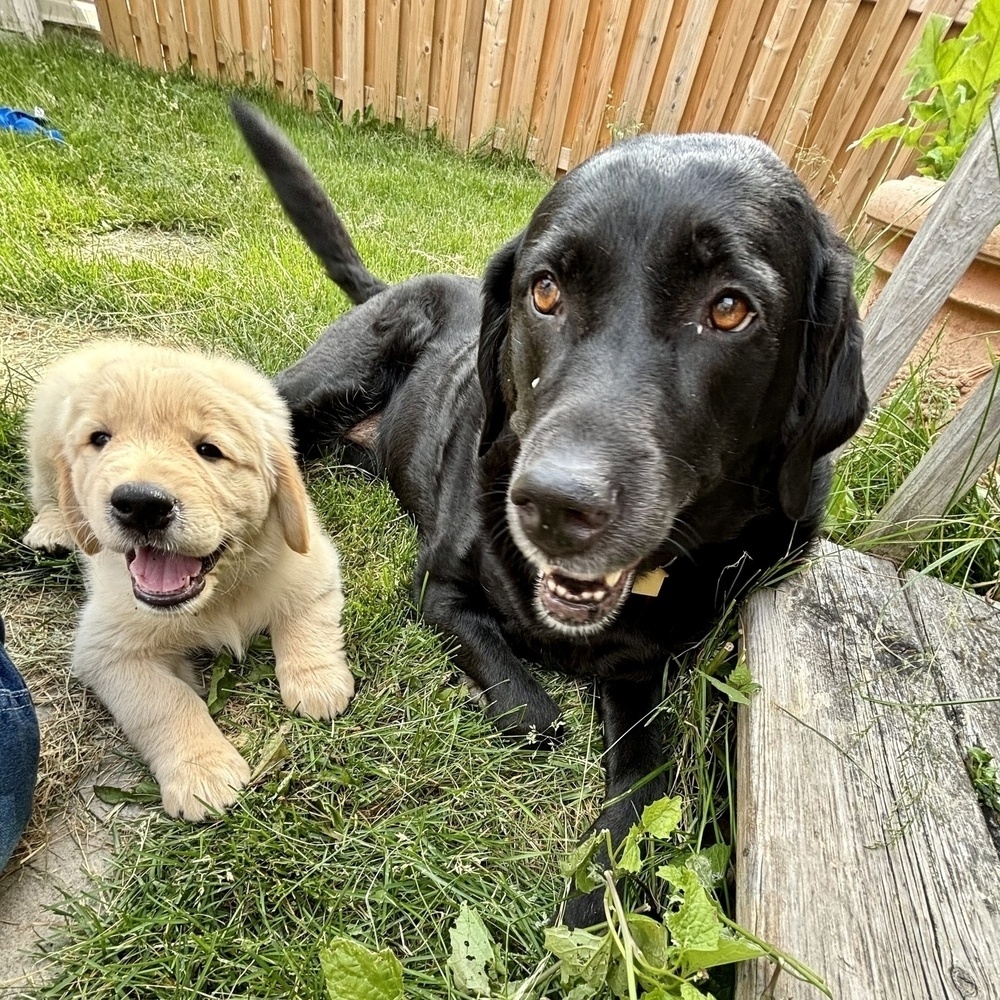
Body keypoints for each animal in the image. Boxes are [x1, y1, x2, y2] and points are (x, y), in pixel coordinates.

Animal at [23, 344, 354, 820]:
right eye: (101, 439)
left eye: (209, 450)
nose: (140, 504)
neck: (219, 589)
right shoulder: (107, 651)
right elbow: (165, 701)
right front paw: (202, 772)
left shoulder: (312, 567)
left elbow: (308, 622)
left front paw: (317, 684)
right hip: (45, 437)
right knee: (47, 489)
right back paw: (51, 529)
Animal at [232, 103, 868, 928]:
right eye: (544, 293)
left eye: (730, 308)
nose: (555, 504)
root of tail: (388, 286)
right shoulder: (437, 592)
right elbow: (528, 708)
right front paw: (535, 710)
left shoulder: (641, 672)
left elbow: (647, 779)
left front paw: (598, 897)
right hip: (315, 387)